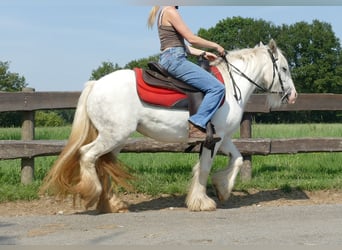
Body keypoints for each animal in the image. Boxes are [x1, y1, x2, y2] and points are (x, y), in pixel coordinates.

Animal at [40, 39, 296, 213]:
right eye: (284, 68)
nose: (292, 95)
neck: (231, 87)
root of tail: (96, 84)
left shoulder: (222, 139)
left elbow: (238, 158)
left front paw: (223, 189)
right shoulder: (213, 140)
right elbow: (205, 168)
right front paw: (202, 201)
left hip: (115, 139)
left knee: (102, 163)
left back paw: (113, 203)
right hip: (112, 136)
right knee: (87, 155)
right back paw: (92, 193)